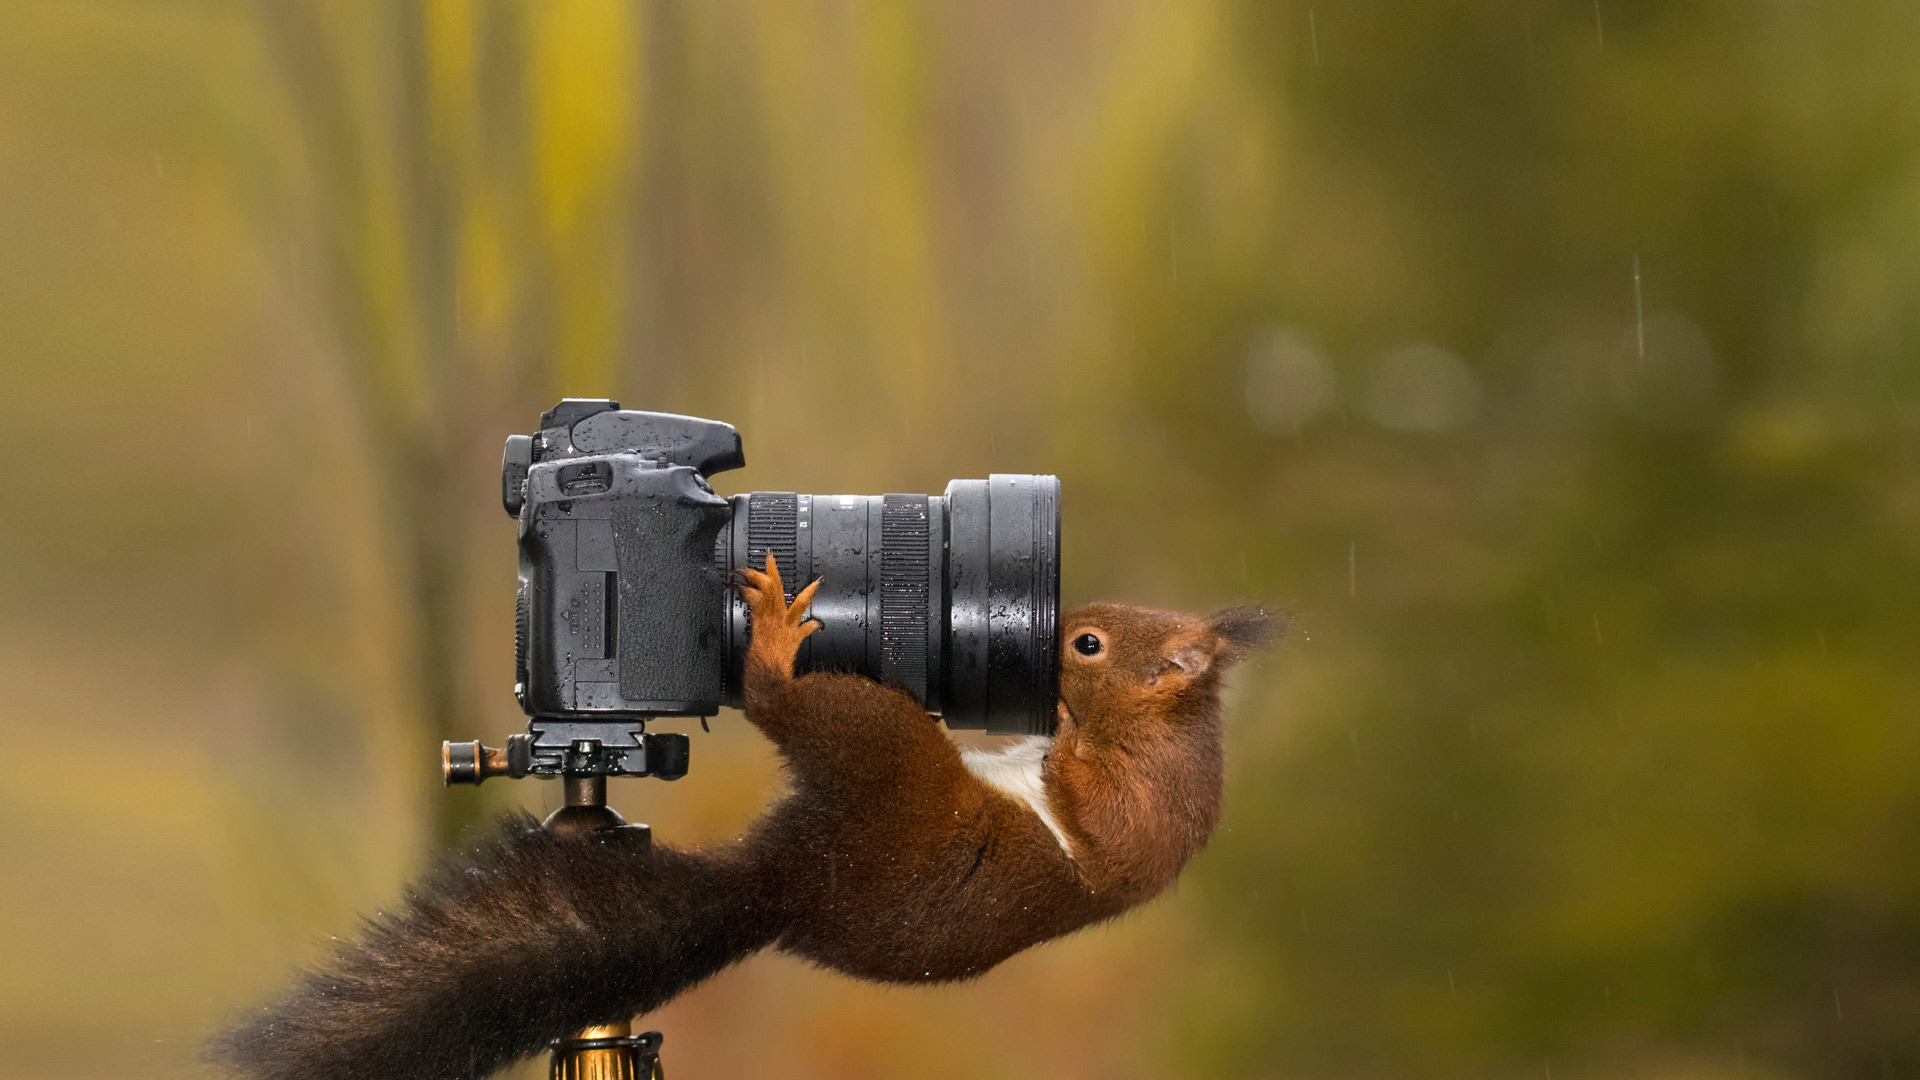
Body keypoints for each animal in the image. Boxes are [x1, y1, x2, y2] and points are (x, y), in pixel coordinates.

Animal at [217, 553, 1274, 1076]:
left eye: (1089, 646)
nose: (1052, 640)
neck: (1167, 728)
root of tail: (785, 881)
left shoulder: (1142, 802)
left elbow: (1095, 810)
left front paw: (1057, 746)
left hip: (884, 753)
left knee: (785, 702)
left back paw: (768, 640)